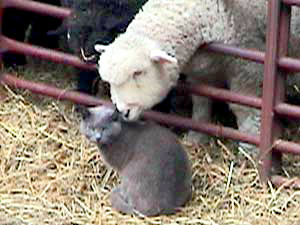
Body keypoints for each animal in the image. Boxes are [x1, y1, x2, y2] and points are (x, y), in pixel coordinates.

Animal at [95, 0, 300, 150]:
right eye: (110, 82)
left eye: (138, 72)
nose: (122, 111)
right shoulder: (203, 72)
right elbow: (201, 103)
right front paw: (197, 137)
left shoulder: (248, 65)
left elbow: (246, 109)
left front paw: (251, 149)